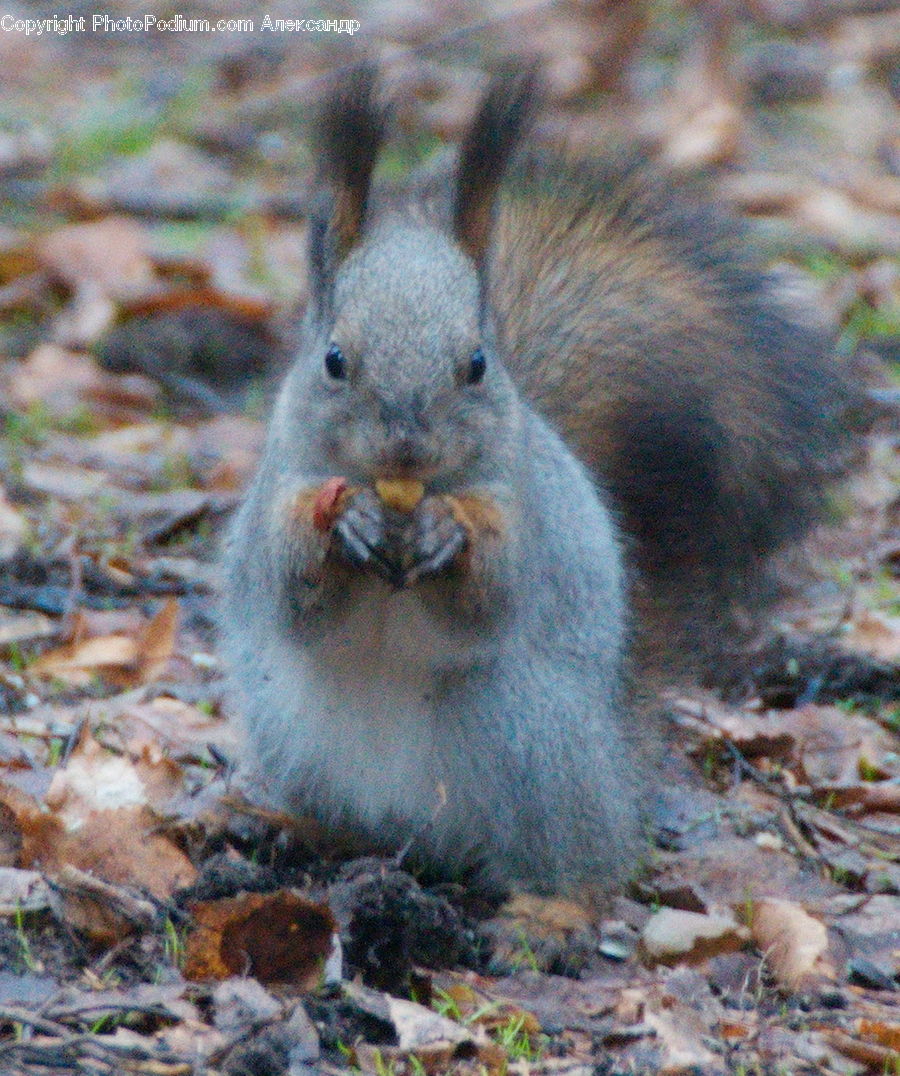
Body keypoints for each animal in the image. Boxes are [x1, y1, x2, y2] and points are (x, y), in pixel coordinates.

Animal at [220, 66, 859, 899]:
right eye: (333, 360)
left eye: (476, 364)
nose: (406, 446)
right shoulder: (275, 495)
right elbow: (294, 595)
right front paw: (342, 525)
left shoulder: (531, 515)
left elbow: (489, 598)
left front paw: (449, 533)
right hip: (286, 733)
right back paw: (300, 831)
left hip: (526, 732)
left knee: (581, 869)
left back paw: (546, 907)